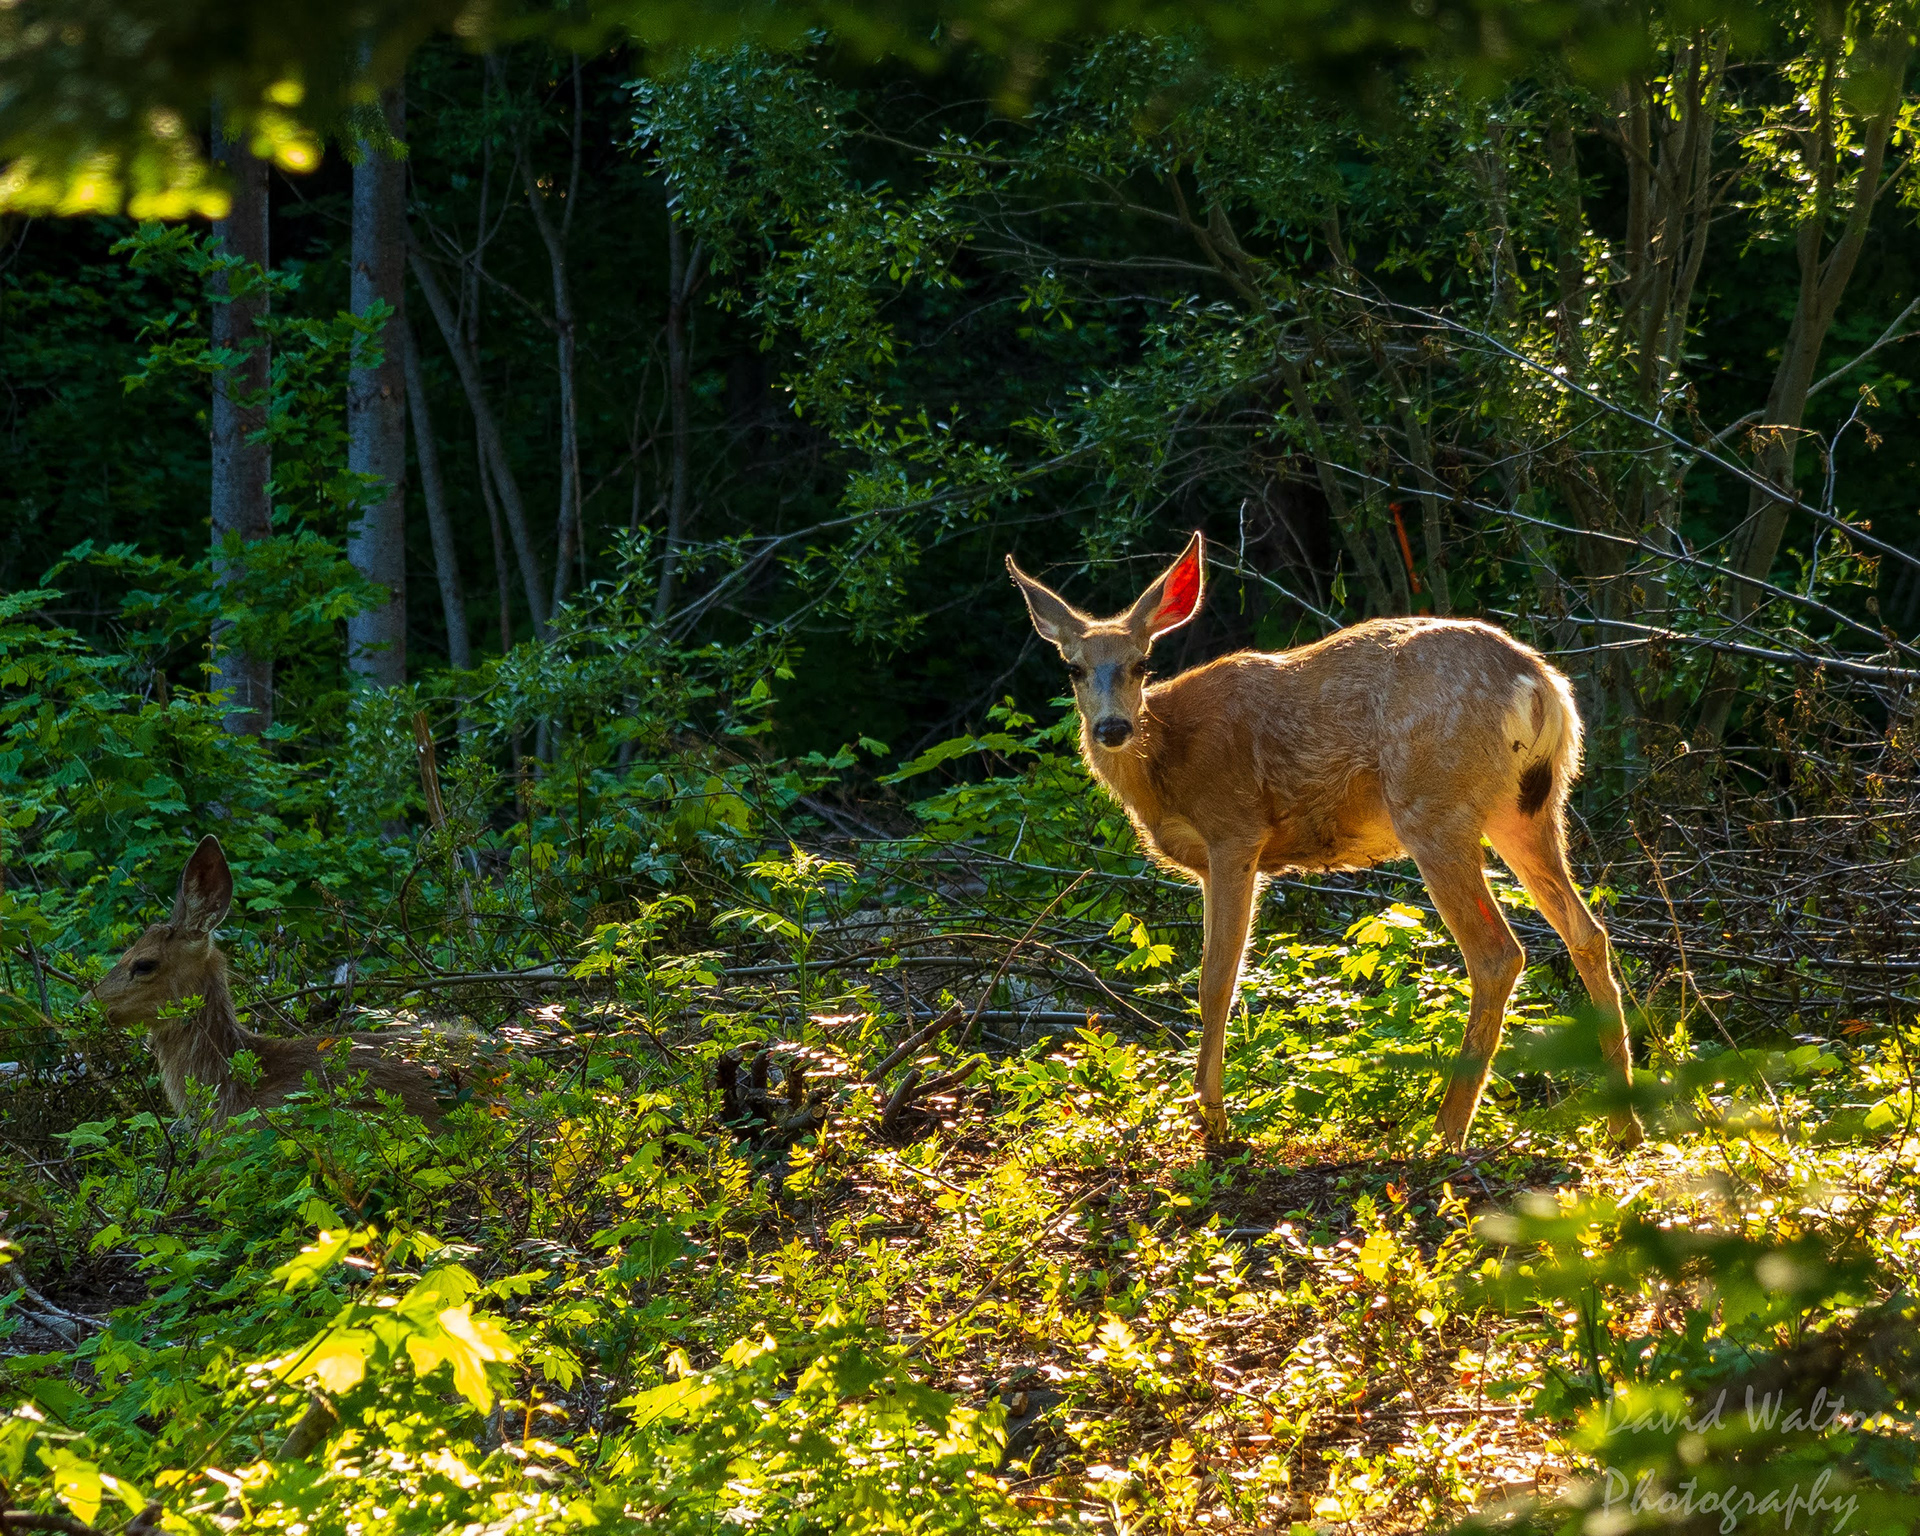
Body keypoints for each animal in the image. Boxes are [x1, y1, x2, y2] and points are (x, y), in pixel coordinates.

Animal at [1006, 533, 1643, 1151]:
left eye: (1141, 663)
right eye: (1073, 668)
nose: (1112, 728)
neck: (1166, 764)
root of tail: (1541, 686)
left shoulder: (1235, 833)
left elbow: (1216, 982)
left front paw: (1212, 1122)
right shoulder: (1214, 861)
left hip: (1431, 806)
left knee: (1497, 953)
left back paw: (1443, 1132)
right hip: (1530, 807)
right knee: (1587, 933)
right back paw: (1622, 1125)